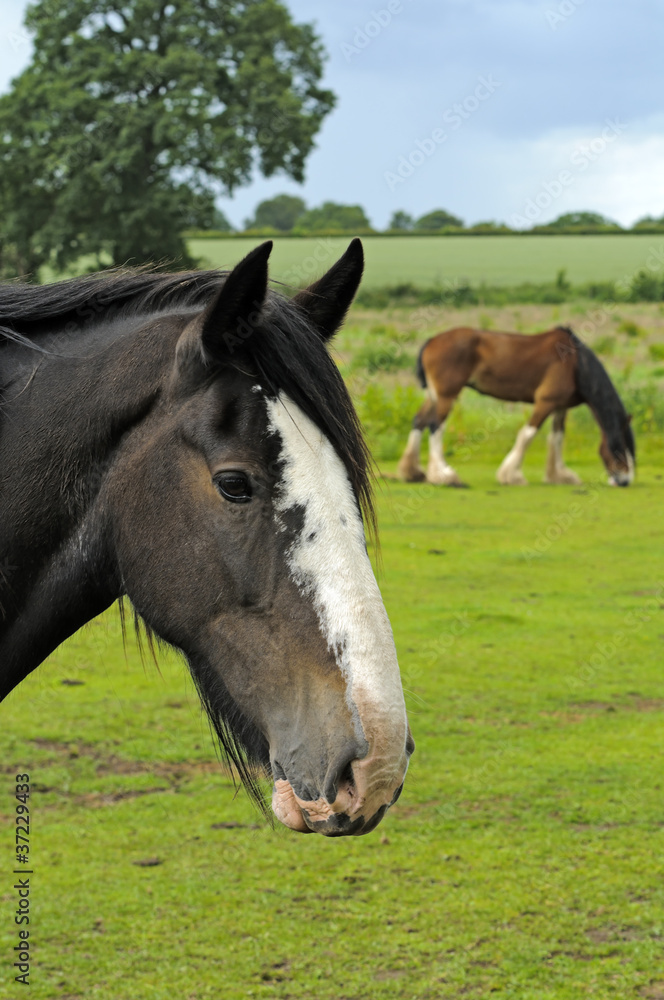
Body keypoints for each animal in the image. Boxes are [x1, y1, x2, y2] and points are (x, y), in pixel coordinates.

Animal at [397, 325, 635, 488]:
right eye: (620, 449)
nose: (625, 480)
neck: (575, 364)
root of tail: (432, 341)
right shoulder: (545, 402)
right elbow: (528, 434)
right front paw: (511, 475)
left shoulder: (560, 407)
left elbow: (557, 438)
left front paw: (559, 476)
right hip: (447, 396)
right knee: (435, 426)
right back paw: (444, 475)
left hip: (434, 396)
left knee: (419, 421)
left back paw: (412, 472)